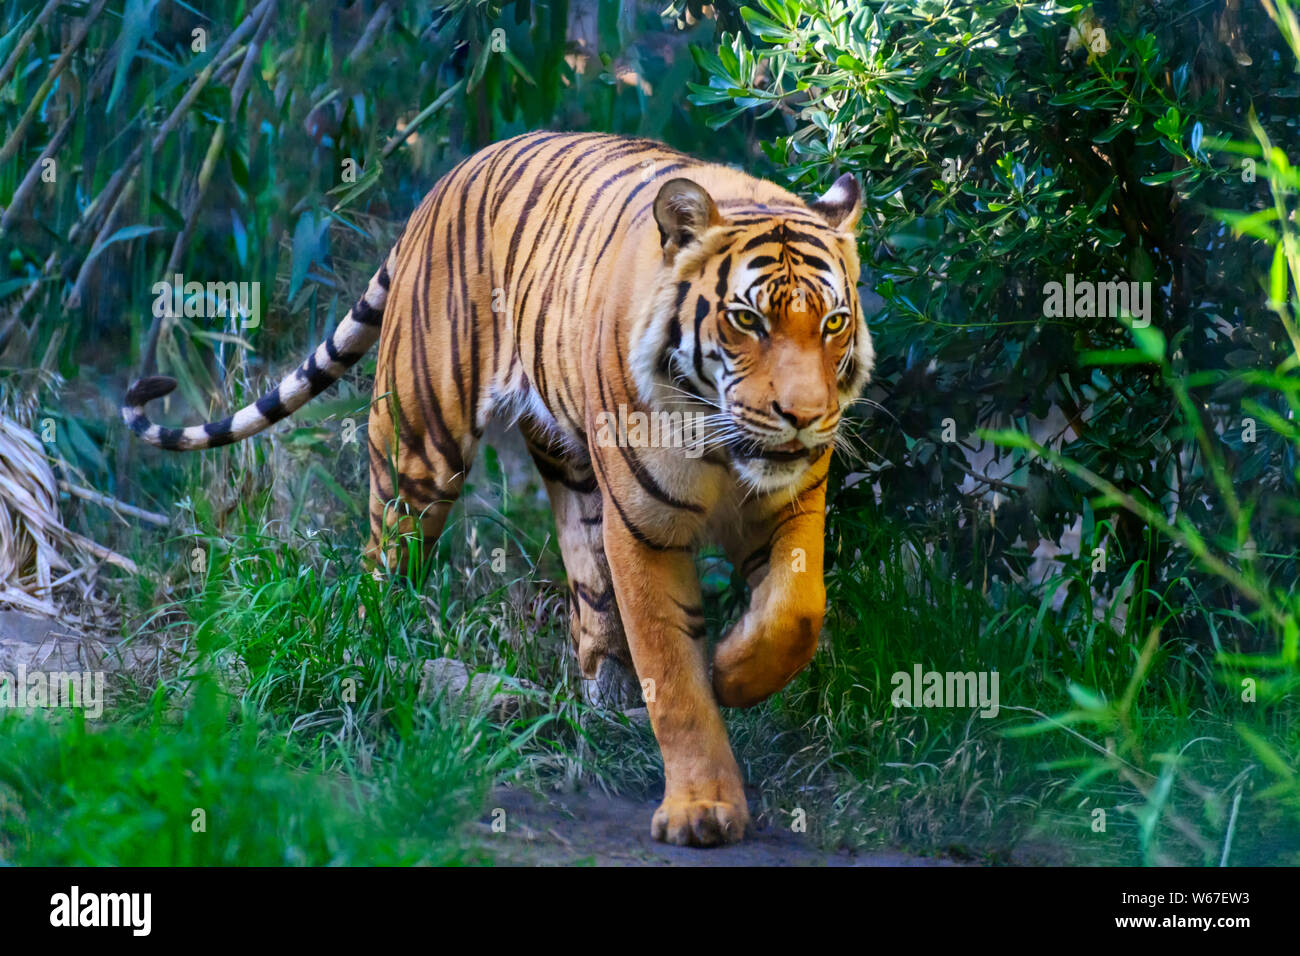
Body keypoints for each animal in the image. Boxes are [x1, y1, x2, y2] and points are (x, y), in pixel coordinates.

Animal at [122, 130, 873, 847]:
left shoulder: (793, 503)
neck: (723, 448)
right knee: (381, 563)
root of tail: (452, 176)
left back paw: (609, 701)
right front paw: (702, 808)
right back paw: (360, 660)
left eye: (833, 322)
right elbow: (677, 678)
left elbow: (796, 612)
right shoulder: (646, 530)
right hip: (418, 448)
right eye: (748, 320)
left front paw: (735, 671)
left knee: (588, 590)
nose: (805, 416)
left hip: (571, 469)